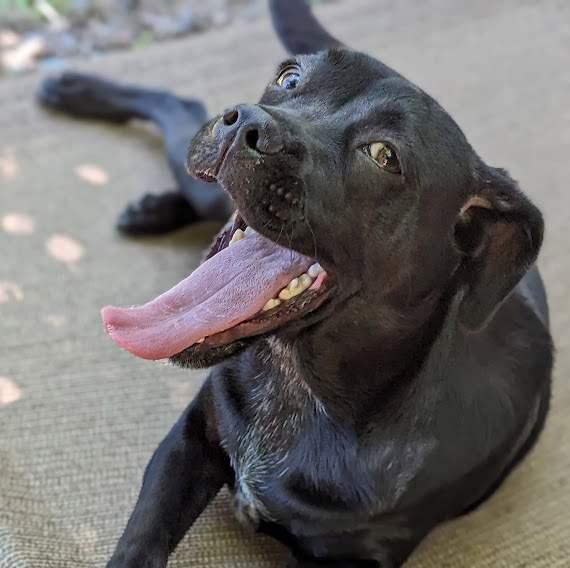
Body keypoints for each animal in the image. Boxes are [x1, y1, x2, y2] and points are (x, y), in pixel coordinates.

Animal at [36, 2, 552, 564]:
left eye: (383, 155)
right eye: (289, 79)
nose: (246, 123)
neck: (296, 388)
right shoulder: (189, 438)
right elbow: (141, 538)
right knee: (181, 105)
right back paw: (75, 93)